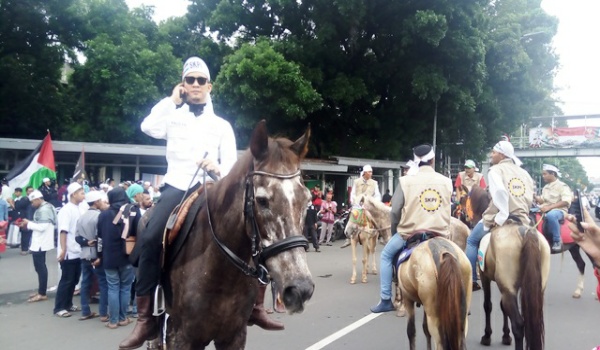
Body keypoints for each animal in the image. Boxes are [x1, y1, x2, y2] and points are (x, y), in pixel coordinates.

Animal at [162, 121, 316, 350]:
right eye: (262, 201)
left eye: (307, 200)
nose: (300, 289)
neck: (220, 276)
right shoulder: (182, 338)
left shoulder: (234, 336)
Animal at [468, 187, 548, 348]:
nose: (470, 220)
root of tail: (526, 232)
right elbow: (502, 307)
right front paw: (505, 336)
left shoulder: (485, 276)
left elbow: (488, 305)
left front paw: (487, 336)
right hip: (537, 287)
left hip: (507, 287)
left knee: (518, 324)